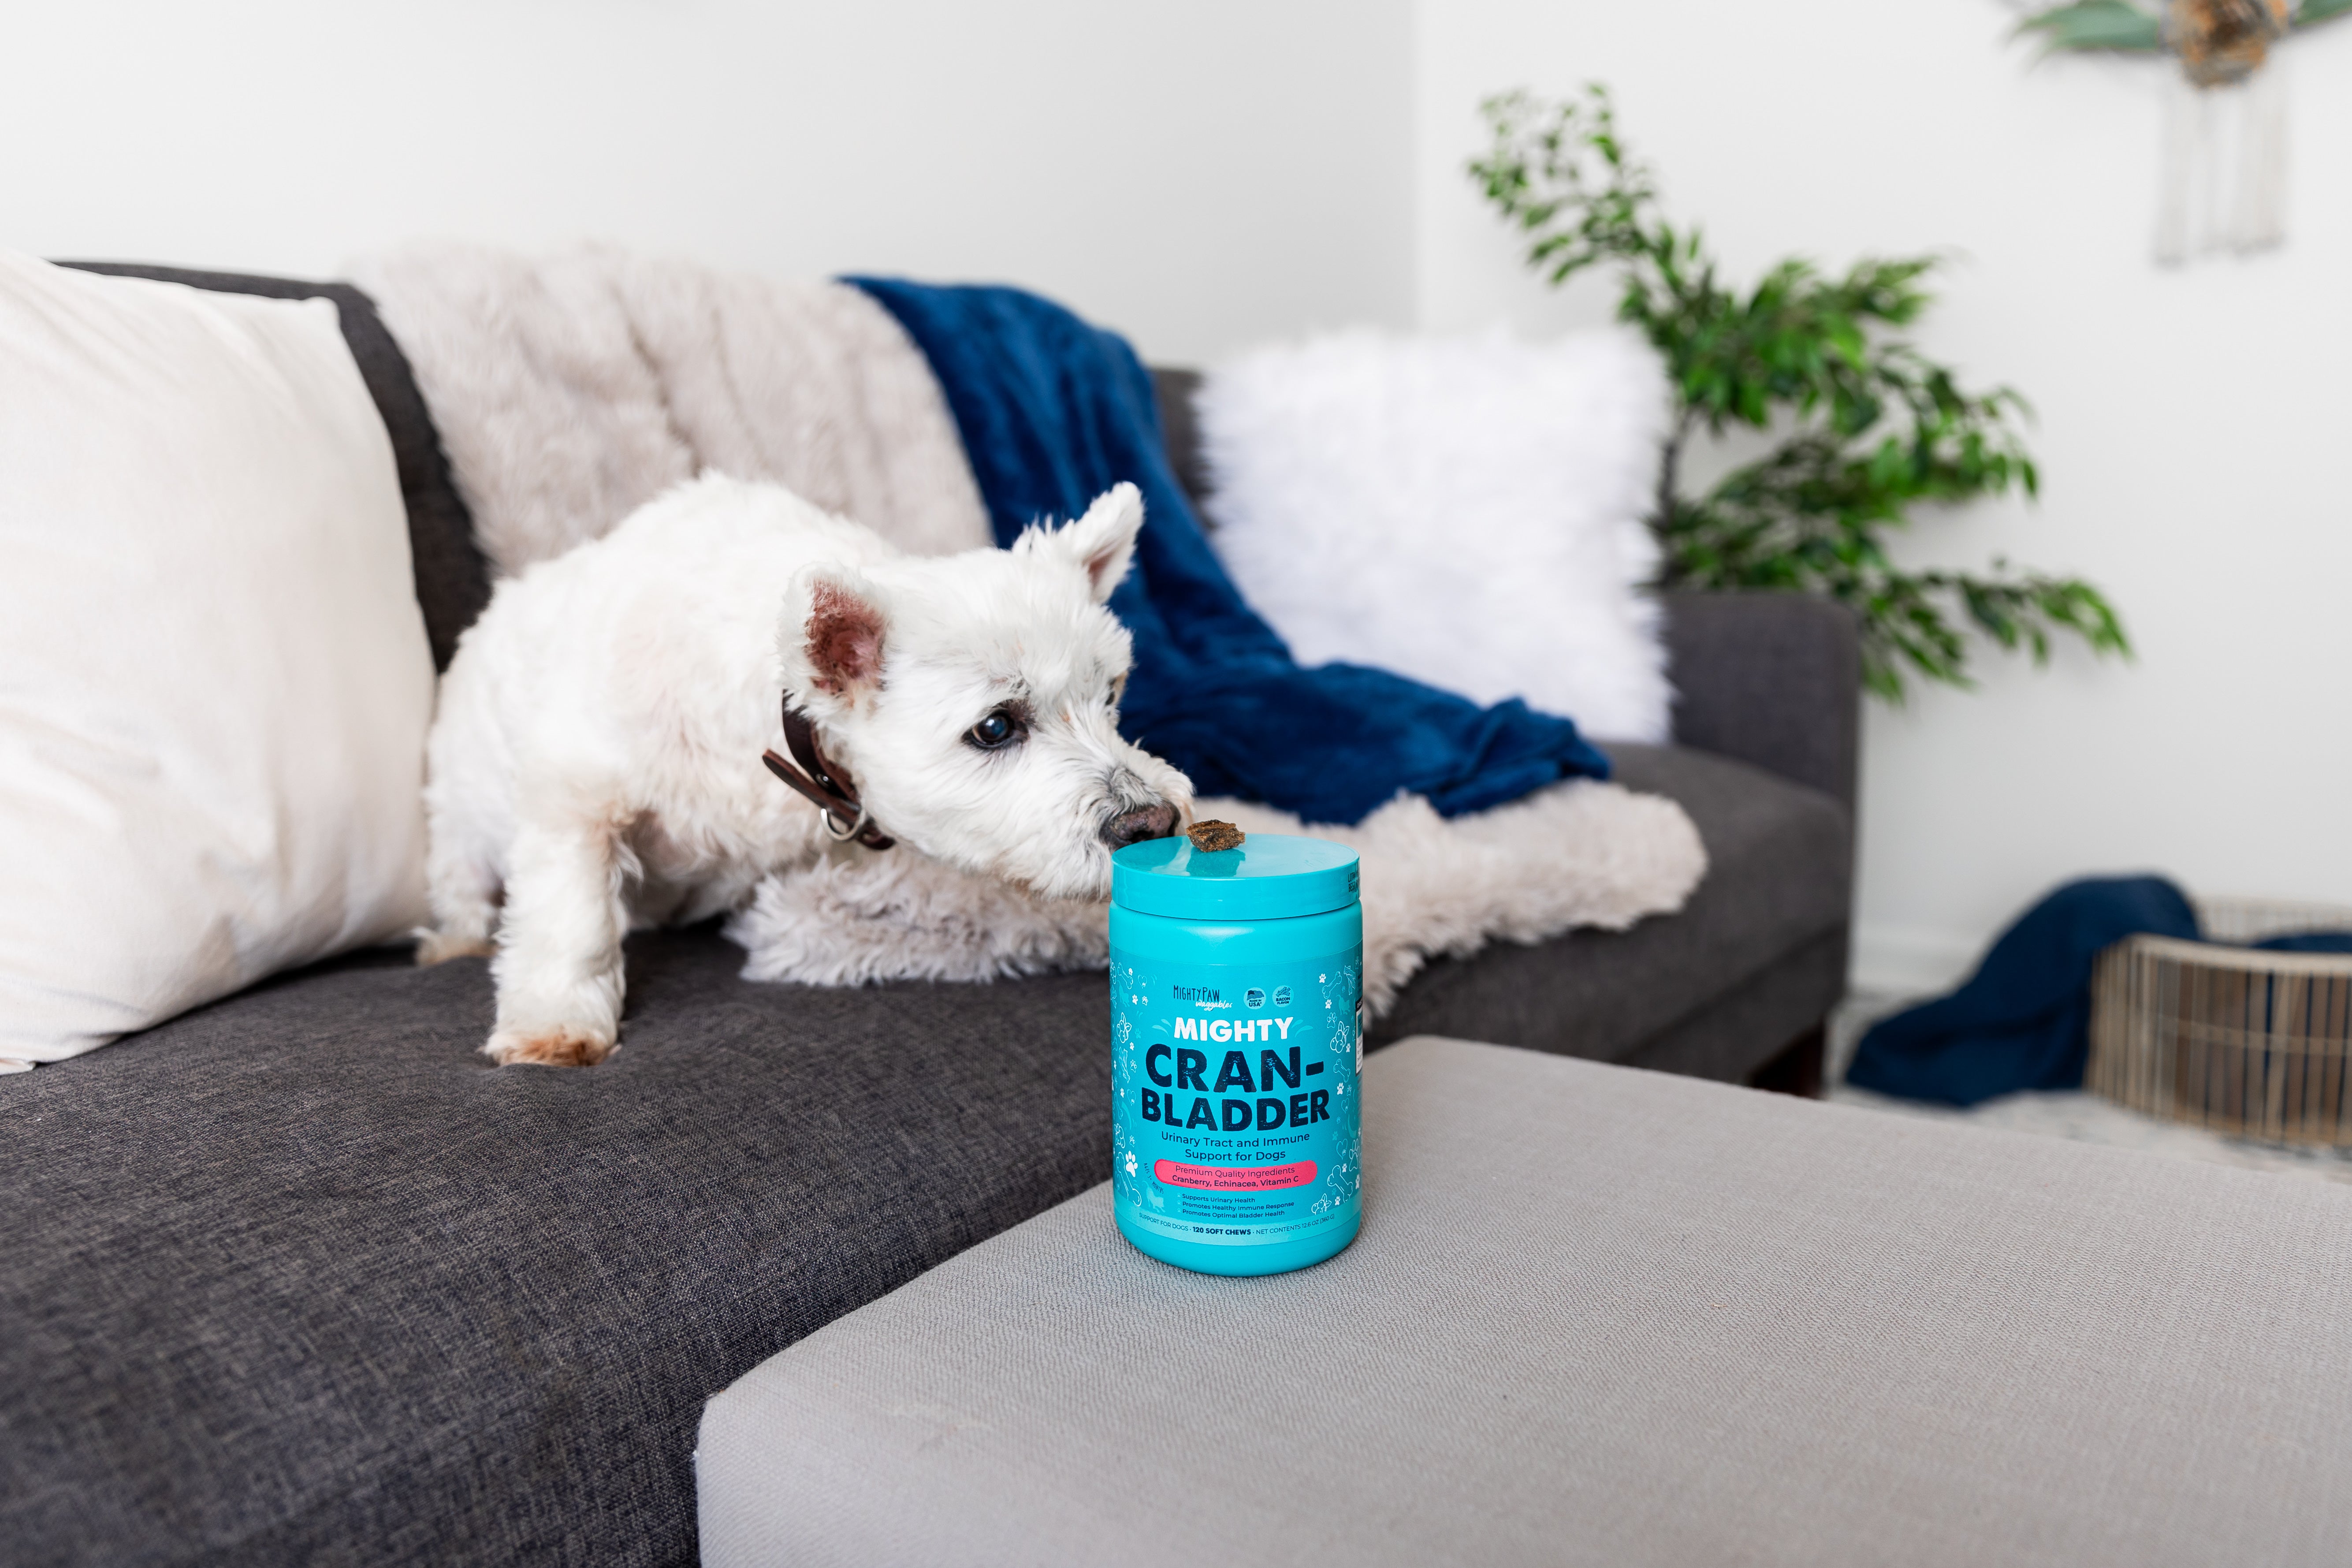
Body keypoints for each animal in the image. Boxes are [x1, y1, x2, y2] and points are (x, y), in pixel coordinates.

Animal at [418, 479, 1195, 1067]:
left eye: (1111, 695)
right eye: (996, 727)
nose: (1154, 822)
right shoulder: (575, 790)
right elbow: (571, 916)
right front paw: (555, 1026)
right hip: (457, 819)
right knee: (462, 887)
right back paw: (451, 941)